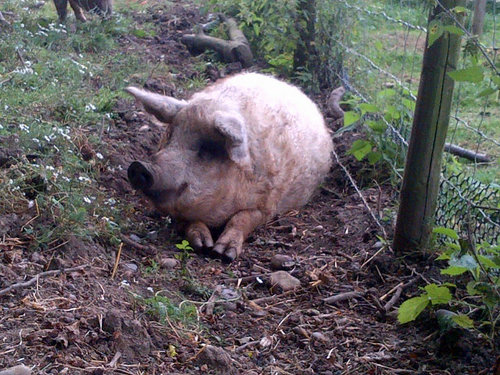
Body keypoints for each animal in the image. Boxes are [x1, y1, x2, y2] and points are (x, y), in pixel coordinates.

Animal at [127, 73, 334, 262]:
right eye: (170, 137)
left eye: (208, 149)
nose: (140, 167)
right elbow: (187, 219)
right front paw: (203, 245)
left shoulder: (269, 204)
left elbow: (242, 219)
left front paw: (223, 253)